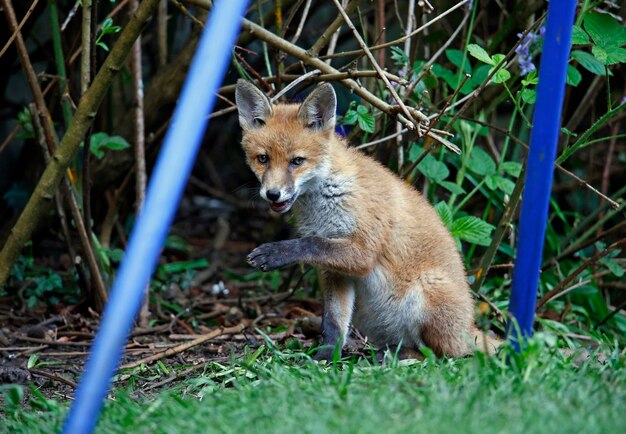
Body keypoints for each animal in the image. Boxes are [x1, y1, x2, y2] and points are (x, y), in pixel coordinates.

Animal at [234, 79, 498, 362]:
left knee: (439, 356)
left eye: (297, 161)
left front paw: (274, 253)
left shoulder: (364, 250)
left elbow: (311, 243)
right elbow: (334, 321)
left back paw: (391, 357)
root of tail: (469, 328)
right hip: (368, 316)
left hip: (426, 293)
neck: (330, 195)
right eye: (263, 159)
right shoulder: (335, 271)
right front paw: (326, 356)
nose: (272, 194)